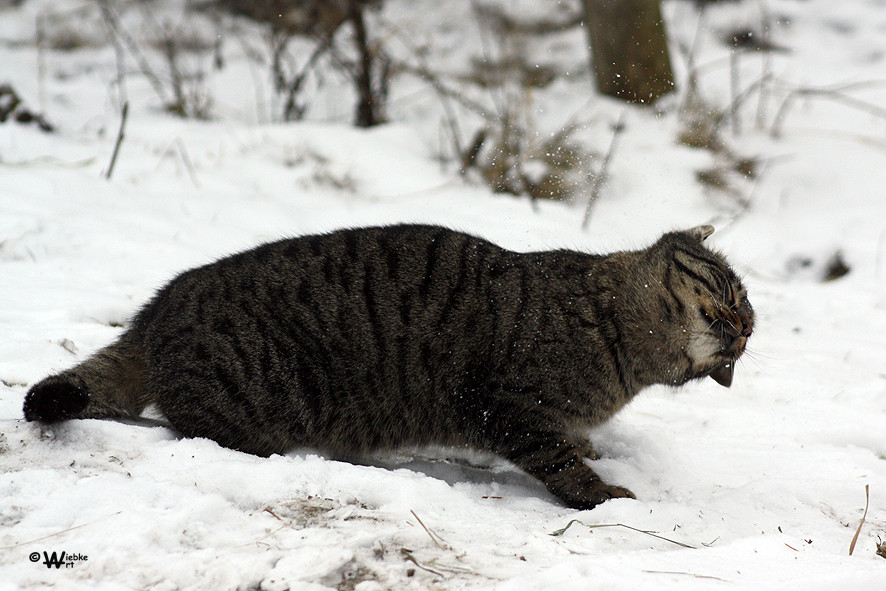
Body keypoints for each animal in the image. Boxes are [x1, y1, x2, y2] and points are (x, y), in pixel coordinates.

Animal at [24, 222, 752, 508]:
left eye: (745, 338)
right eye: (733, 292)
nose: (743, 328)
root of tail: (160, 305)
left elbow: (571, 441)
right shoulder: (504, 408)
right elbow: (557, 460)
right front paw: (599, 493)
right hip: (247, 410)